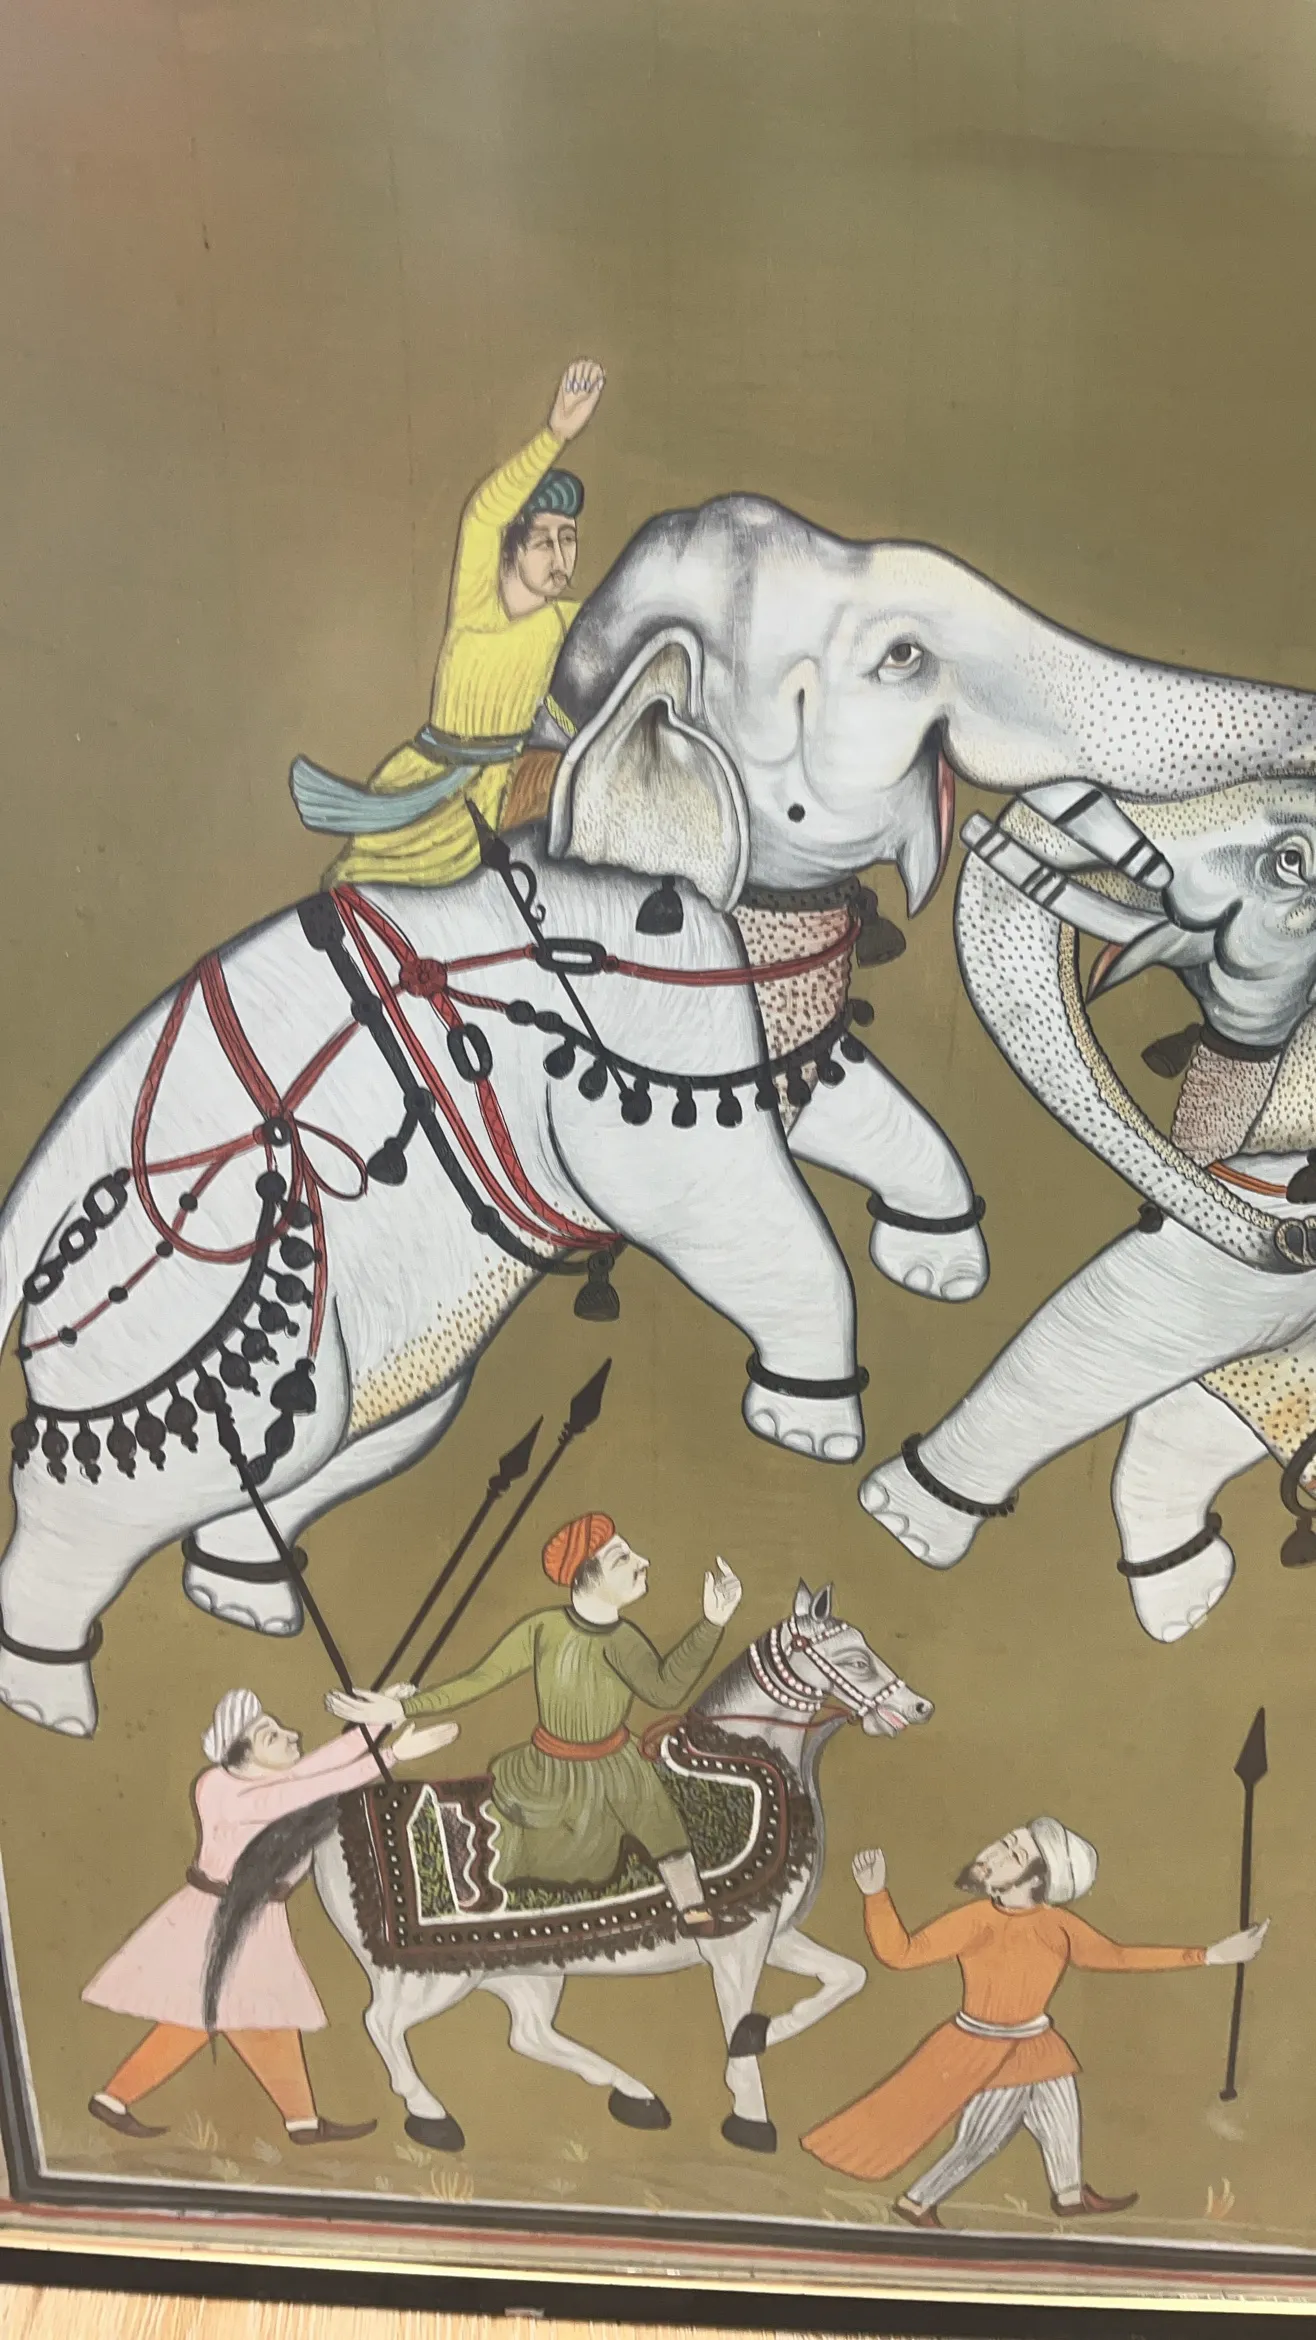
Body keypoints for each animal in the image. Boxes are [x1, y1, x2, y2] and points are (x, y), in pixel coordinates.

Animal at [312, 1582, 932, 2153]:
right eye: (856, 1660)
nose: (918, 1707)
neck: (740, 1763)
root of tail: (333, 1825)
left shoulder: (771, 1932)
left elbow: (847, 1978)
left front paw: (758, 2039)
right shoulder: (736, 1945)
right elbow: (742, 2017)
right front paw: (750, 2112)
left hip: (526, 1971)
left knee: (528, 2034)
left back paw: (636, 2095)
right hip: (431, 1977)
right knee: (383, 2023)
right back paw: (431, 2116)